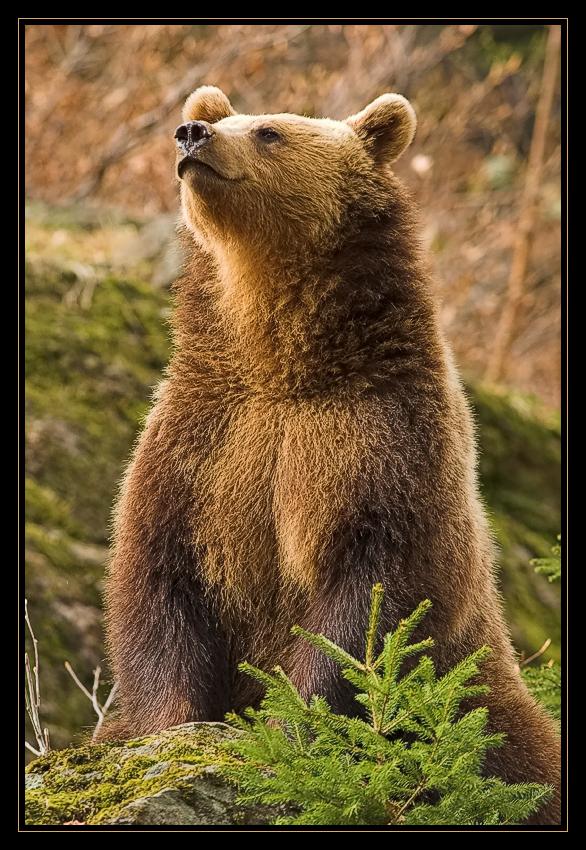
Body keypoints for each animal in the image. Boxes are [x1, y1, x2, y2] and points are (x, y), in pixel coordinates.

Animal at [99, 86, 556, 820]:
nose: (191, 133)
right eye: (220, 116)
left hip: (490, 724)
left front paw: (293, 727)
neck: (281, 363)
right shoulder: (202, 445)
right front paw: (165, 727)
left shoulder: (378, 443)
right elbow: (159, 584)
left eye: (269, 131)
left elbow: (368, 604)